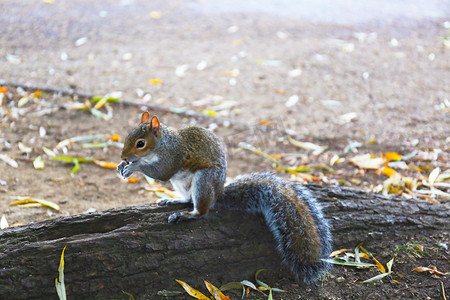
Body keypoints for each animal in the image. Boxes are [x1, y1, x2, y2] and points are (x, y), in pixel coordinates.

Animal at [118, 112, 332, 284]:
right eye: (127, 135)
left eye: (140, 143)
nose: (123, 157)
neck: (162, 144)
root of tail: (218, 193)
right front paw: (123, 166)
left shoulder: (173, 157)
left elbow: (161, 172)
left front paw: (134, 166)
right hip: (182, 185)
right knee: (188, 199)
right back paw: (173, 200)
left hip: (203, 180)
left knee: (201, 210)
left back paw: (186, 215)